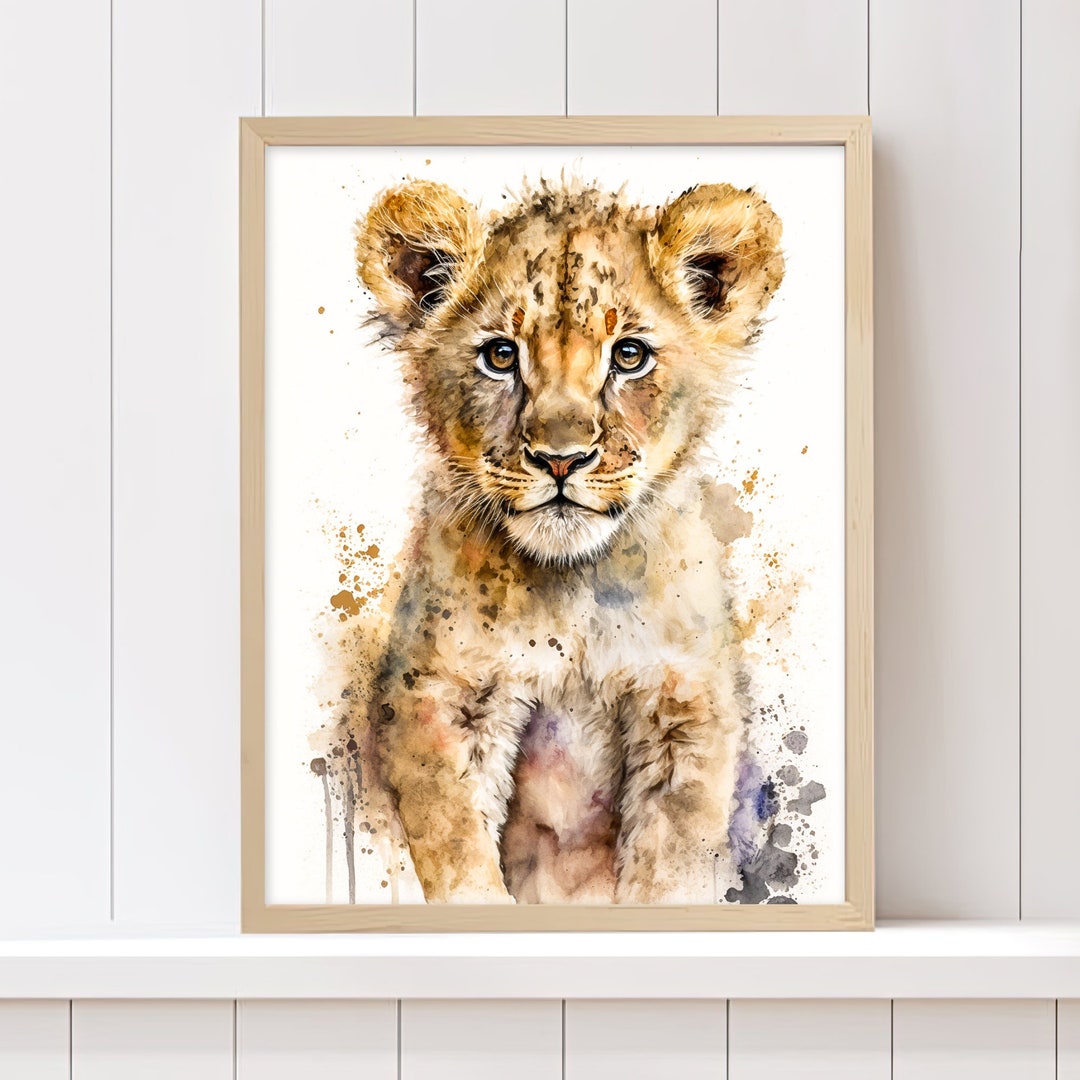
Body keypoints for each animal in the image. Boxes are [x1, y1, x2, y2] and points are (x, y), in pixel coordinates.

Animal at [346, 176, 784, 904]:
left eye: (628, 356)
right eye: (500, 356)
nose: (560, 459)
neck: (570, 591)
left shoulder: (686, 706)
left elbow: (669, 865)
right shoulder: (437, 695)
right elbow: (459, 852)